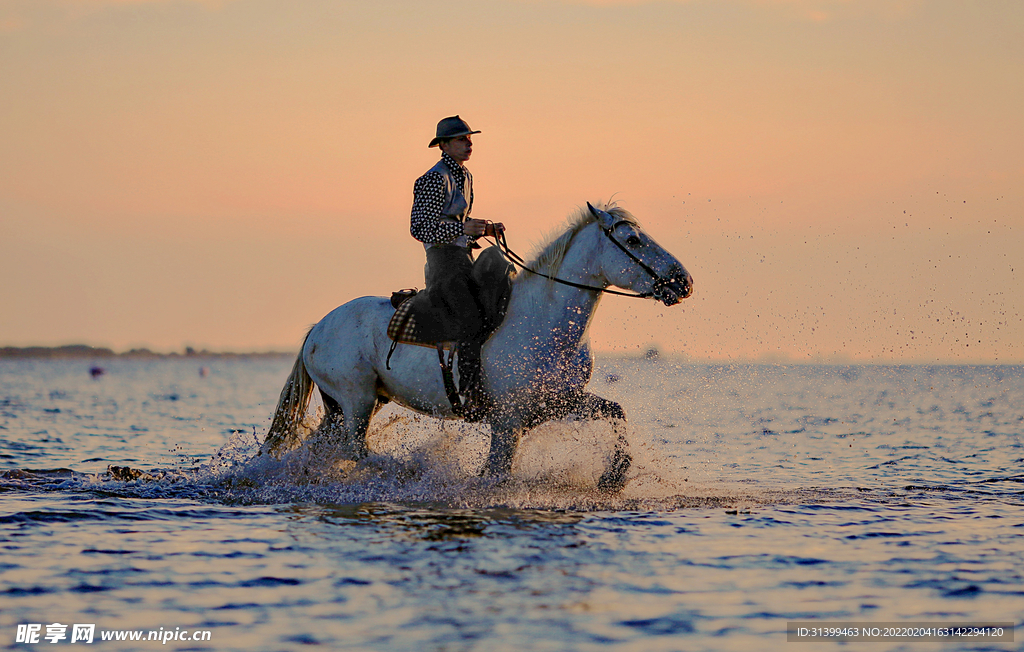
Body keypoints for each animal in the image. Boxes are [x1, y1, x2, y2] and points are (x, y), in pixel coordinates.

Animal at [262, 203, 696, 487]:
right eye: (633, 239)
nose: (683, 281)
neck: (544, 324)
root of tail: (318, 328)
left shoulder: (560, 402)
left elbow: (616, 411)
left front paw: (614, 476)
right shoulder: (507, 421)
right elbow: (498, 473)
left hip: (348, 405)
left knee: (324, 447)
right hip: (357, 400)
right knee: (355, 450)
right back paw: (407, 471)